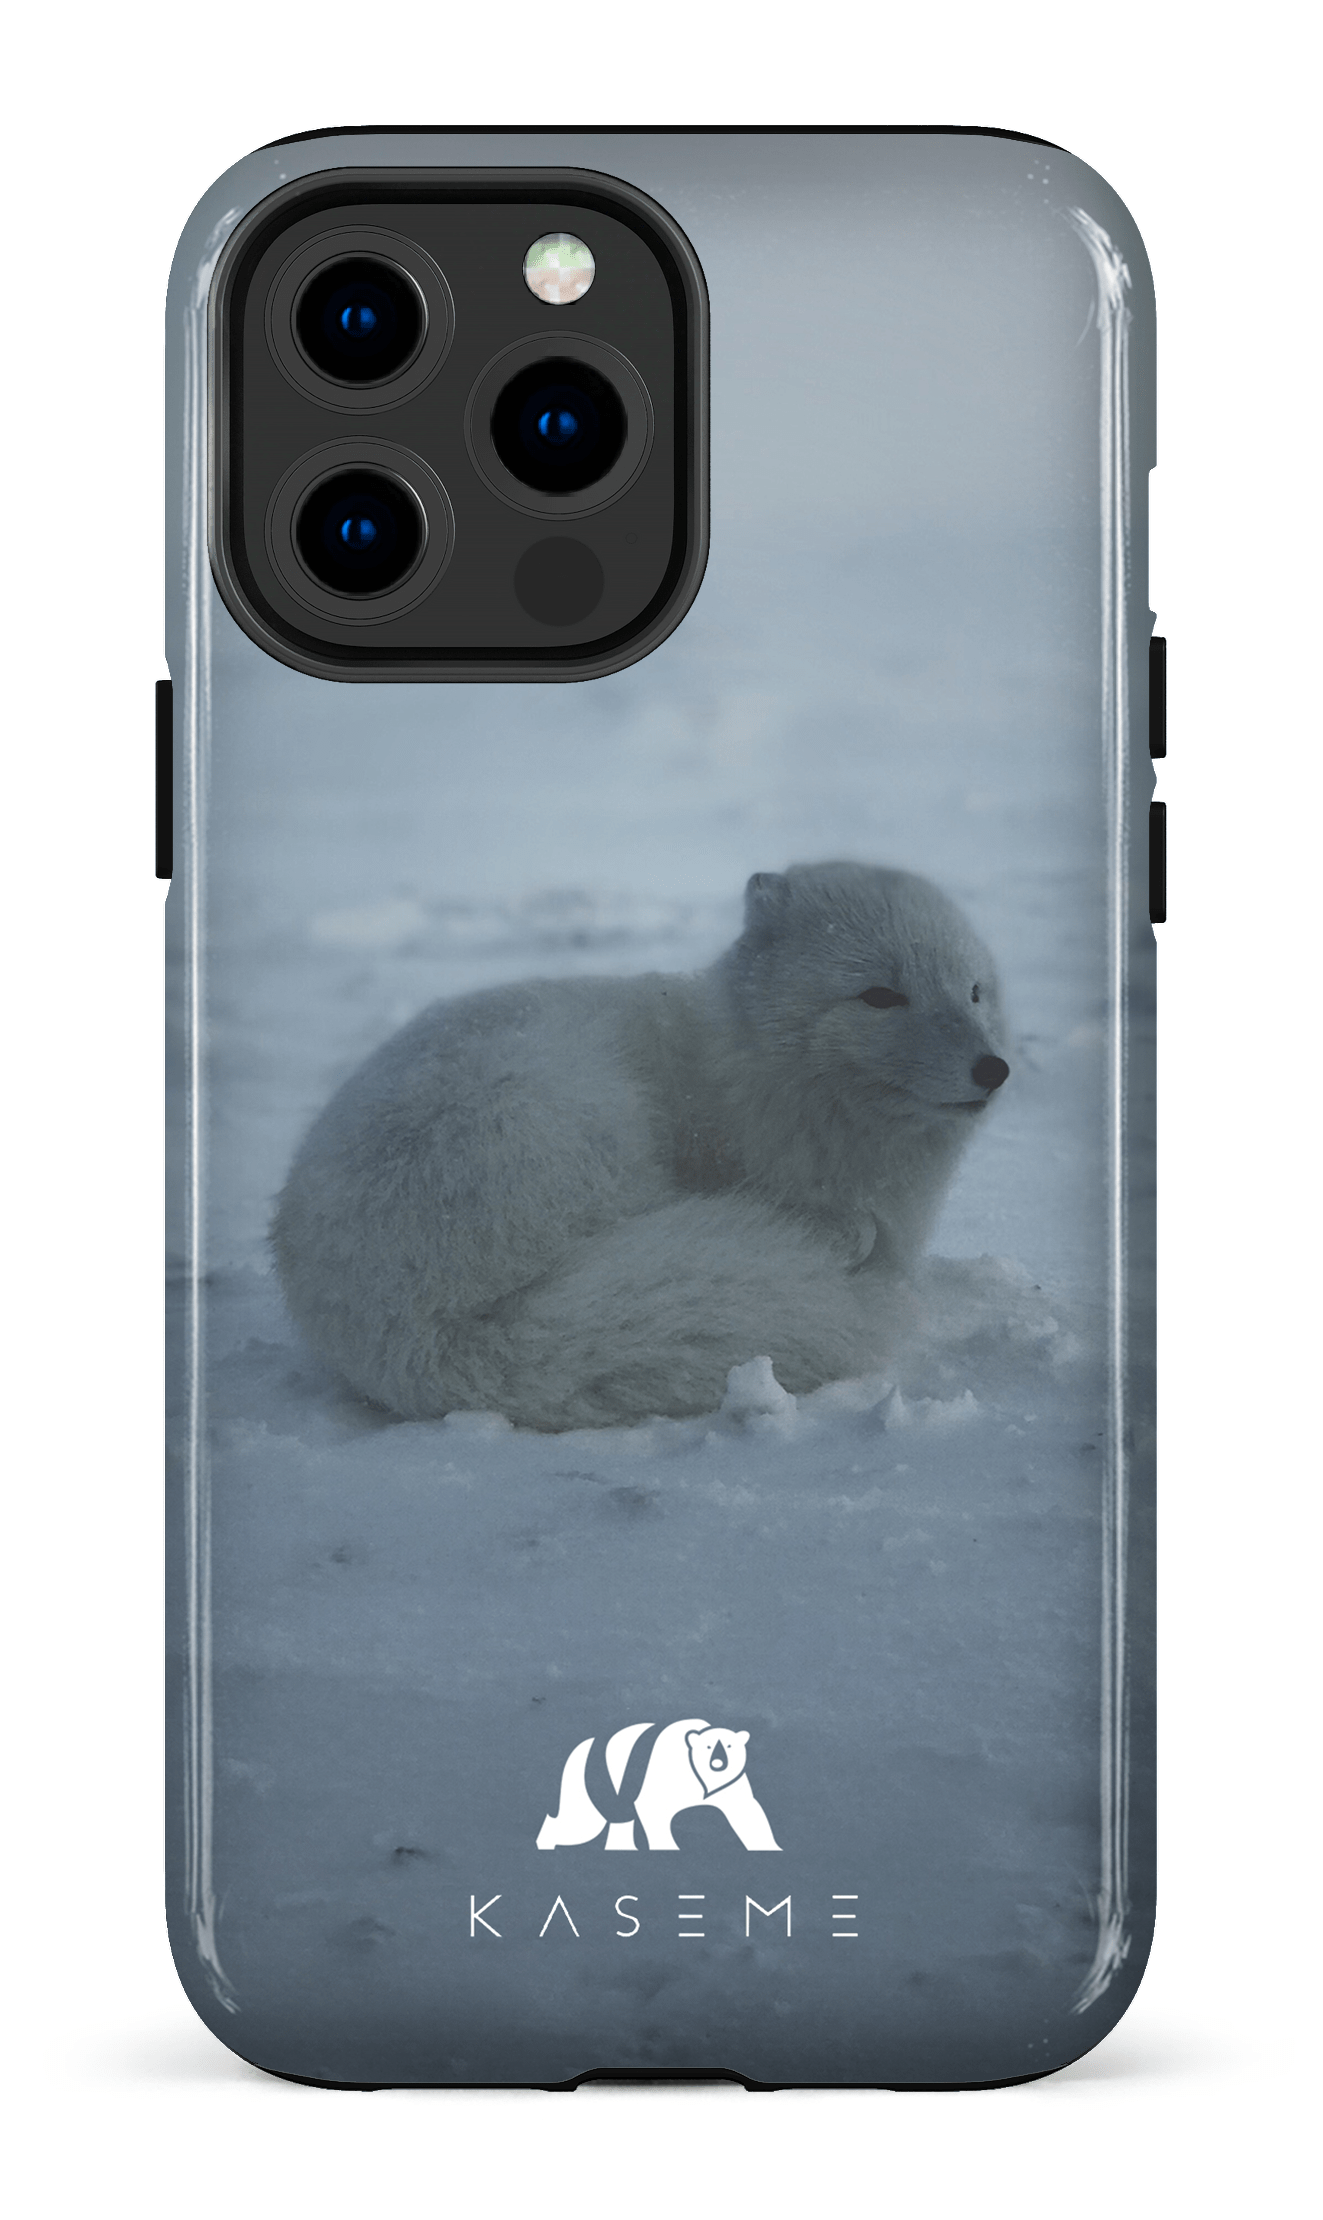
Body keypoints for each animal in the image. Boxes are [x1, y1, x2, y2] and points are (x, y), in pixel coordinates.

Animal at [272, 862, 1010, 1430]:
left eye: (973, 991)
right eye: (880, 996)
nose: (993, 1068)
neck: (751, 1070)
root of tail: (422, 1334)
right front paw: (842, 1234)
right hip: (568, 1116)